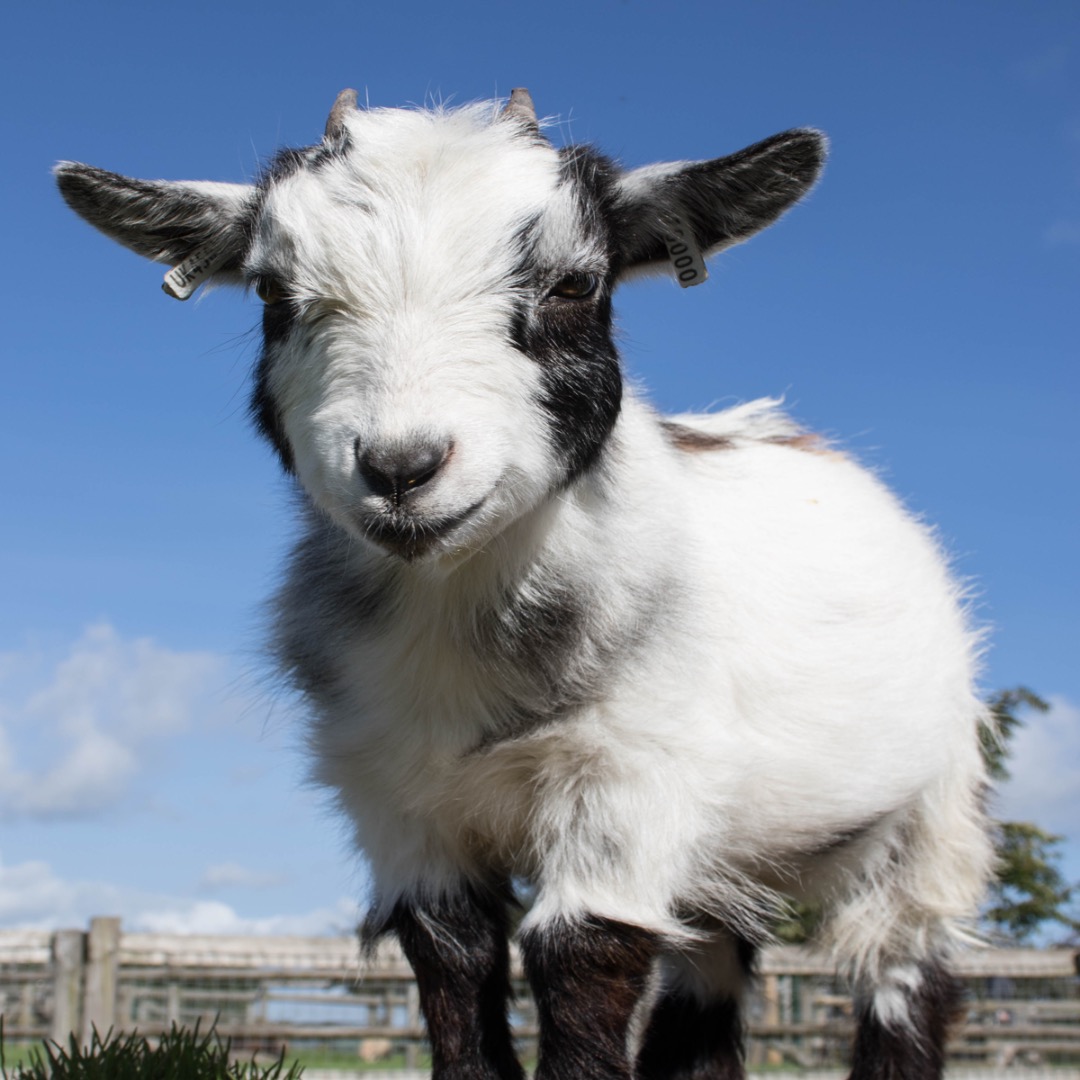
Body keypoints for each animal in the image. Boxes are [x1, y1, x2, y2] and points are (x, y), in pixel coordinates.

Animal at [56, 88, 992, 1080]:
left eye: (575, 285)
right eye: (272, 292)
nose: (401, 468)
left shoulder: (627, 779)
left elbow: (581, 954)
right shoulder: (393, 797)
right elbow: (452, 954)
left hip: (935, 808)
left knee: (903, 972)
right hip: (722, 844)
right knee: (706, 982)